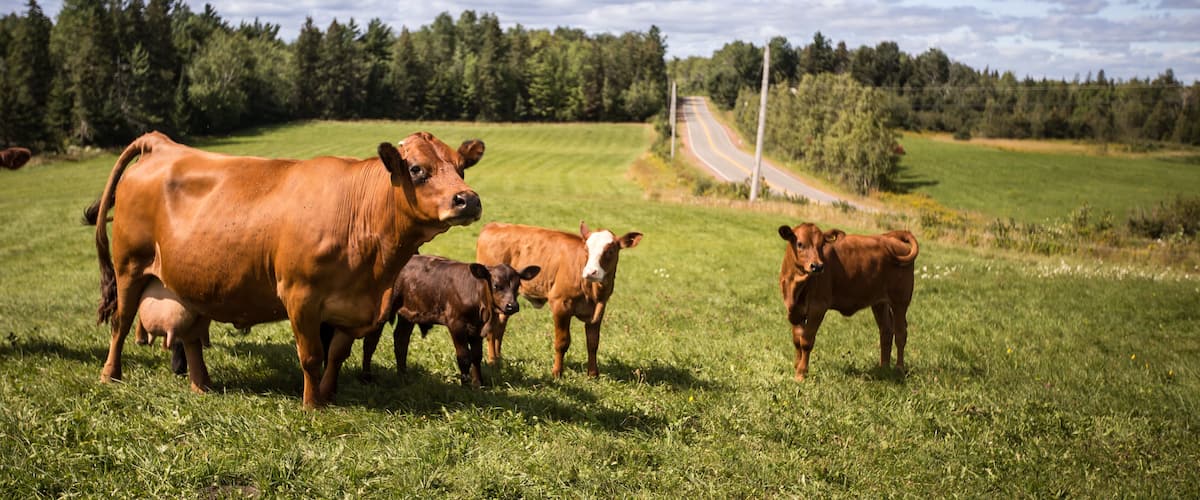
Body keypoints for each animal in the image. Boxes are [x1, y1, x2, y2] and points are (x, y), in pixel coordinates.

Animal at [89, 130, 484, 408]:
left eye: (461, 168)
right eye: (417, 169)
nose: (468, 199)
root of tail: (165, 145)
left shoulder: (351, 307)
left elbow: (336, 355)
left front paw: (329, 395)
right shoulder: (300, 294)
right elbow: (311, 356)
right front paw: (312, 406)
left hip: (193, 282)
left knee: (190, 335)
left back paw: (202, 385)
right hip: (129, 268)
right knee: (121, 324)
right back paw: (110, 375)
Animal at [357, 255, 540, 387]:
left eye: (517, 285)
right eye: (496, 285)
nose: (512, 306)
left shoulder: (476, 328)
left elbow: (477, 356)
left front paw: (479, 384)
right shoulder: (456, 324)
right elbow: (464, 356)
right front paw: (465, 385)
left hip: (408, 312)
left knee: (401, 340)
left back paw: (403, 376)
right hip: (384, 310)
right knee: (370, 342)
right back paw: (366, 377)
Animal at [475, 221, 642, 378]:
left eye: (610, 251)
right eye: (586, 250)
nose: (590, 272)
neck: (593, 292)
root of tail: (494, 226)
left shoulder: (599, 309)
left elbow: (593, 342)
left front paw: (593, 374)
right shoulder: (560, 304)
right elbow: (562, 342)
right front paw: (557, 372)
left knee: (500, 325)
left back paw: (498, 359)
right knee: (491, 328)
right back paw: (492, 361)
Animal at [777, 223, 919, 381]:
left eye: (822, 245)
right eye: (800, 244)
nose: (817, 266)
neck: (795, 285)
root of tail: (889, 238)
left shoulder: (818, 307)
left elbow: (806, 341)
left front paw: (801, 373)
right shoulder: (795, 310)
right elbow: (797, 340)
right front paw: (796, 367)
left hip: (900, 301)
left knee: (901, 333)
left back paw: (899, 369)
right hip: (879, 302)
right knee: (886, 331)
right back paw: (883, 368)